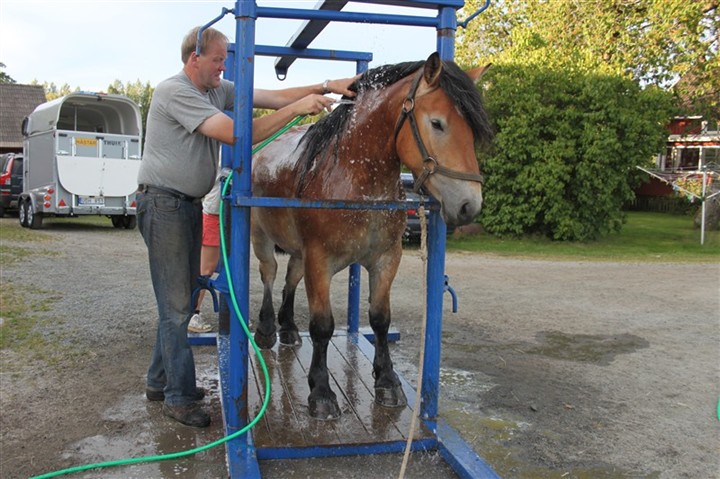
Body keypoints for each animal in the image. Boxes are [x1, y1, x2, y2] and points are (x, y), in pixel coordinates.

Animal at [250, 53, 492, 420]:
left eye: (473, 131)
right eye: (437, 123)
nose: (469, 205)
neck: (354, 179)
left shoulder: (386, 258)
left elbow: (380, 319)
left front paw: (387, 381)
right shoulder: (319, 260)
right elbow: (322, 326)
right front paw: (321, 391)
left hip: (298, 250)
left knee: (290, 276)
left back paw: (288, 327)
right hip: (261, 236)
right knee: (270, 274)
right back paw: (266, 330)